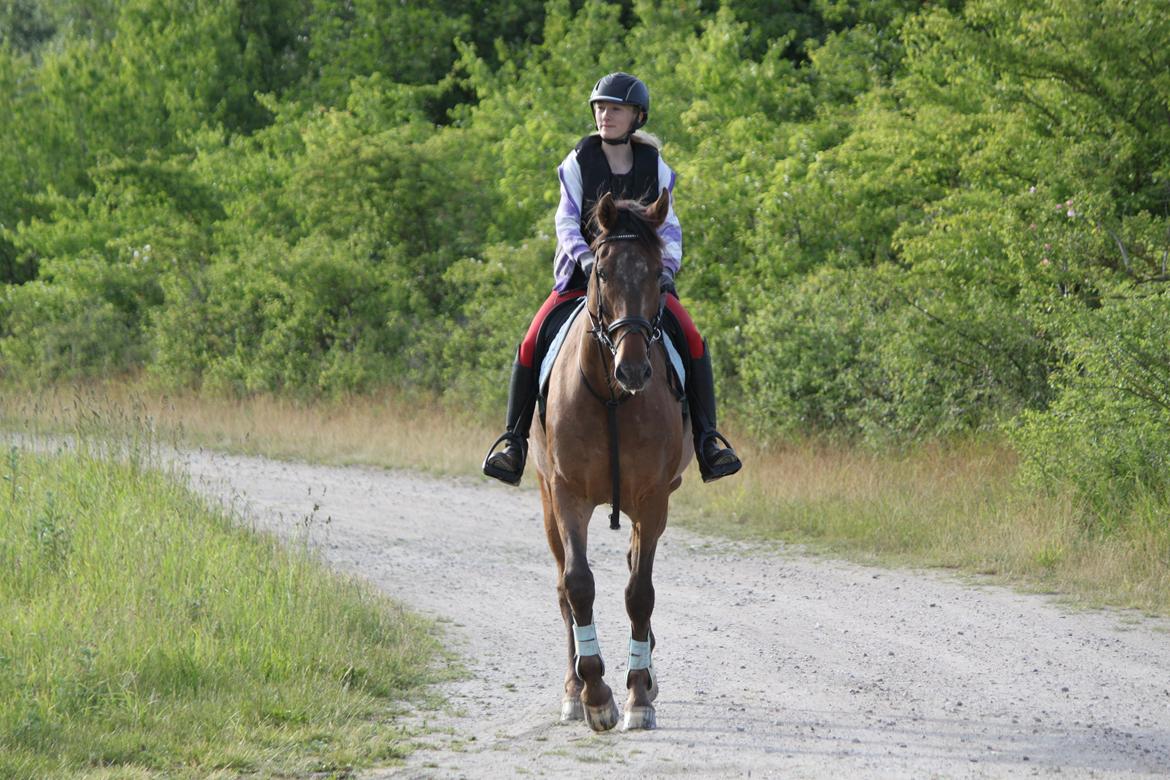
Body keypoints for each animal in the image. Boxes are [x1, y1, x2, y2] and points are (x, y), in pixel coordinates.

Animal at [526, 189, 687, 734]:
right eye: (600, 271)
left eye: (658, 272)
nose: (633, 368)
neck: (614, 398)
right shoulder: (568, 495)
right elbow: (579, 587)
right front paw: (596, 696)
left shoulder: (653, 499)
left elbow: (640, 592)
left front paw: (638, 694)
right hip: (546, 499)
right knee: (561, 589)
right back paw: (573, 690)